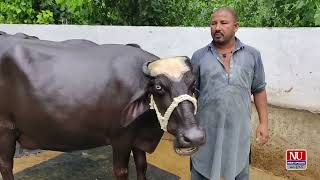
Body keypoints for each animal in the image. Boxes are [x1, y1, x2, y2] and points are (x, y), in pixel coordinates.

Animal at [0, 32, 205, 180]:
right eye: (159, 87)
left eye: (193, 84)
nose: (194, 137)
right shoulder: (121, 139)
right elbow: (121, 171)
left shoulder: (138, 137)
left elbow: (142, 165)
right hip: (6, 130)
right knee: (6, 166)